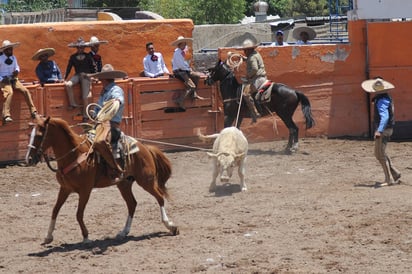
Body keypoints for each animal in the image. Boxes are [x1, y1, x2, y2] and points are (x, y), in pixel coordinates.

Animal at [25, 115, 179, 244]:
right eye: (29, 135)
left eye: (39, 135)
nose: (29, 159)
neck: (75, 154)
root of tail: (145, 147)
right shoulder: (65, 189)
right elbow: (55, 210)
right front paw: (48, 236)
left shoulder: (85, 191)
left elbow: (79, 214)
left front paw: (86, 237)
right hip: (124, 184)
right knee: (132, 204)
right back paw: (123, 232)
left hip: (146, 181)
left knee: (159, 197)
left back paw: (171, 226)